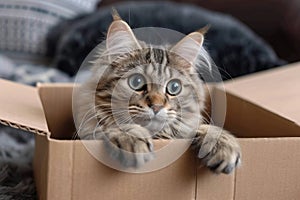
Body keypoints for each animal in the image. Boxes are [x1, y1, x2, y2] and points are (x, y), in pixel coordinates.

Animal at [75, 10, 241, 174]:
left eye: (174, 87)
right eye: (136, 82)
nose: (157, 106)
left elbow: (201, 128)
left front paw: (223, 145)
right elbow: (115, 125)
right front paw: (134, 139)